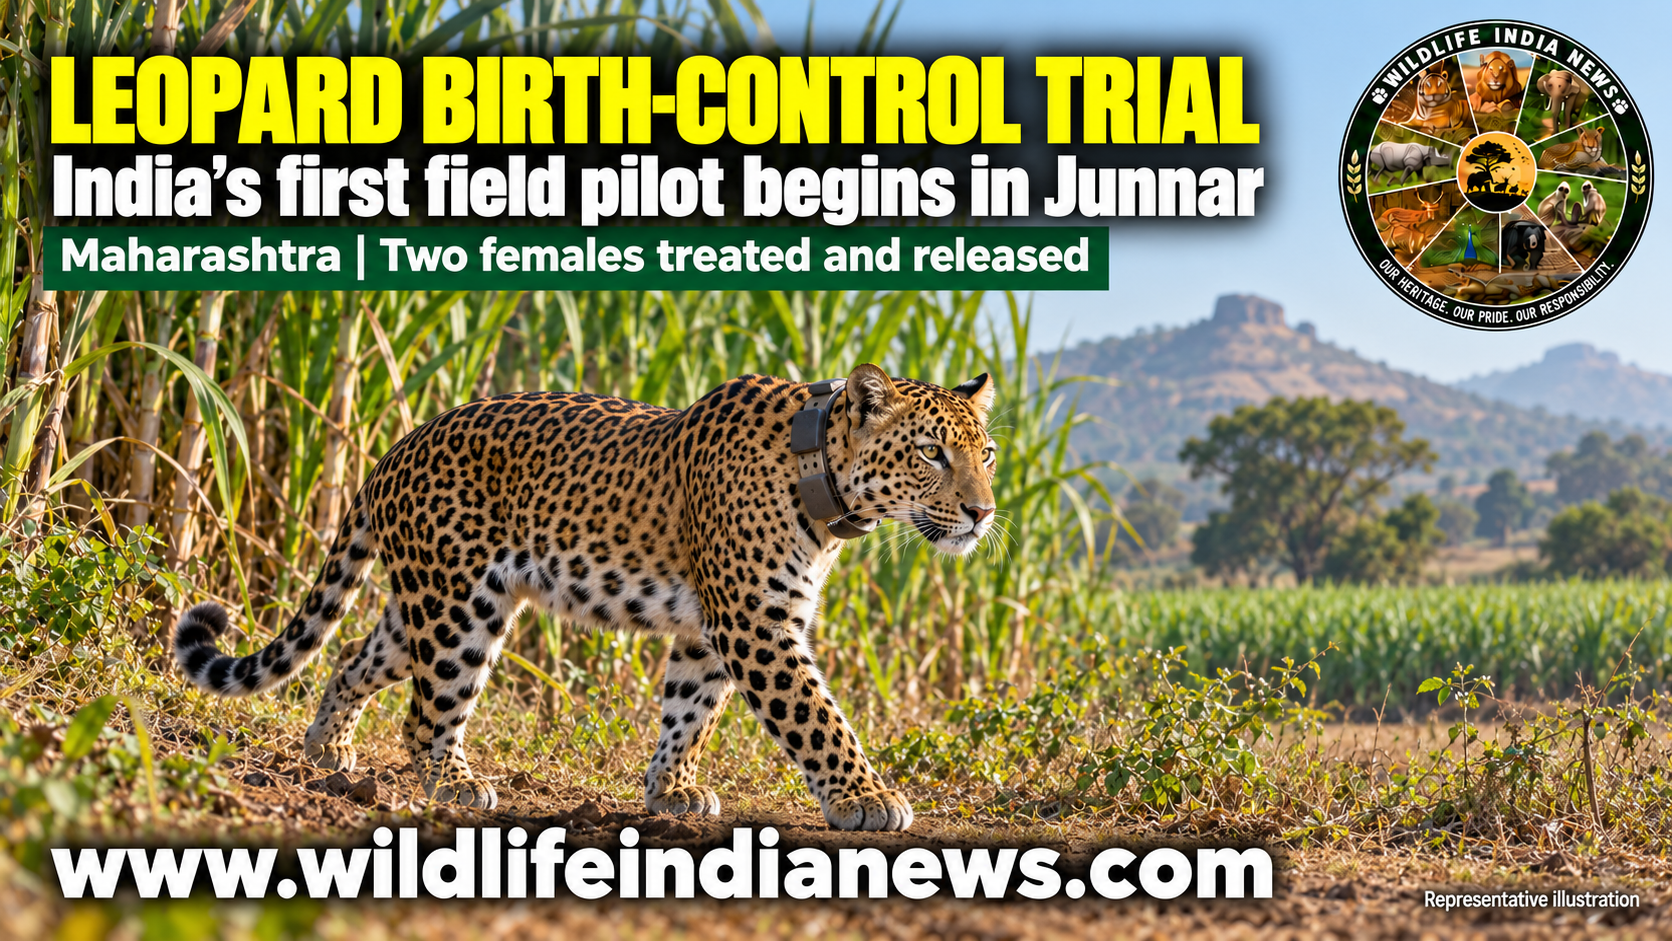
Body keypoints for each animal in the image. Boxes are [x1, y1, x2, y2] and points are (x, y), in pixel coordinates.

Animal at [172, 365, 998, 831]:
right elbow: (818, 716)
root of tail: (395, 449)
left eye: (985, 452)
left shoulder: (711, 626)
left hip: (422, 603)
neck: (820, 471)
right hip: (459, 608)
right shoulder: (755, 621)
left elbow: (689, 711)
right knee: (425, 713)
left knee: (354, 657)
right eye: (930, 452)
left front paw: (672, 790)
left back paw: (330, 749)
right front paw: (866, 796)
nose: (983, 511)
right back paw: (456, 783)